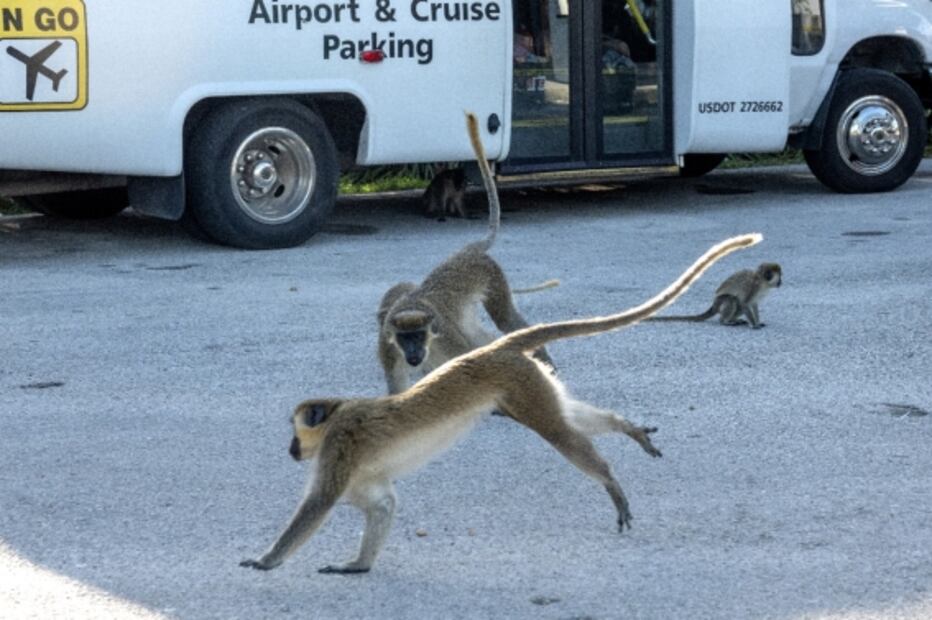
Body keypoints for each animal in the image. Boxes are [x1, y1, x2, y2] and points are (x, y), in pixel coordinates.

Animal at [240, 233, 761, 575]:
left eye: (296, 432)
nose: (290, 450)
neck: (335, 419)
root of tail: (495, 349)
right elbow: (384, 505)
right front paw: (359, 566)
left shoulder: (340, 448)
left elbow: (318, 504)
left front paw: (267, 560)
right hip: (530, 381)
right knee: (568, 418)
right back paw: (625, 428)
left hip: (519, 387)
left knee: (558, 432)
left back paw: (609, 478)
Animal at [378, 112, 555, 396]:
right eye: (405, 339)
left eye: (418, 336)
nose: (414, 353)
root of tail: (466, 252)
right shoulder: (388, 345)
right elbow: (398, 389)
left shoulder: (446, 337)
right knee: (477, 333)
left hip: (492, 276)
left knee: (505, 318)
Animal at [647, 262, 781, 329]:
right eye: (779, 277)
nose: (781, 282)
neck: (762, 282)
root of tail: (714, 304)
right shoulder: (752, 287)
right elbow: (744, 303)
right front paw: (754, 325)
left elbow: (753, 305)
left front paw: (758, 322)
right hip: (720, 301)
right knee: (733, 300)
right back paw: (725, 321)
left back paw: (733, 320)